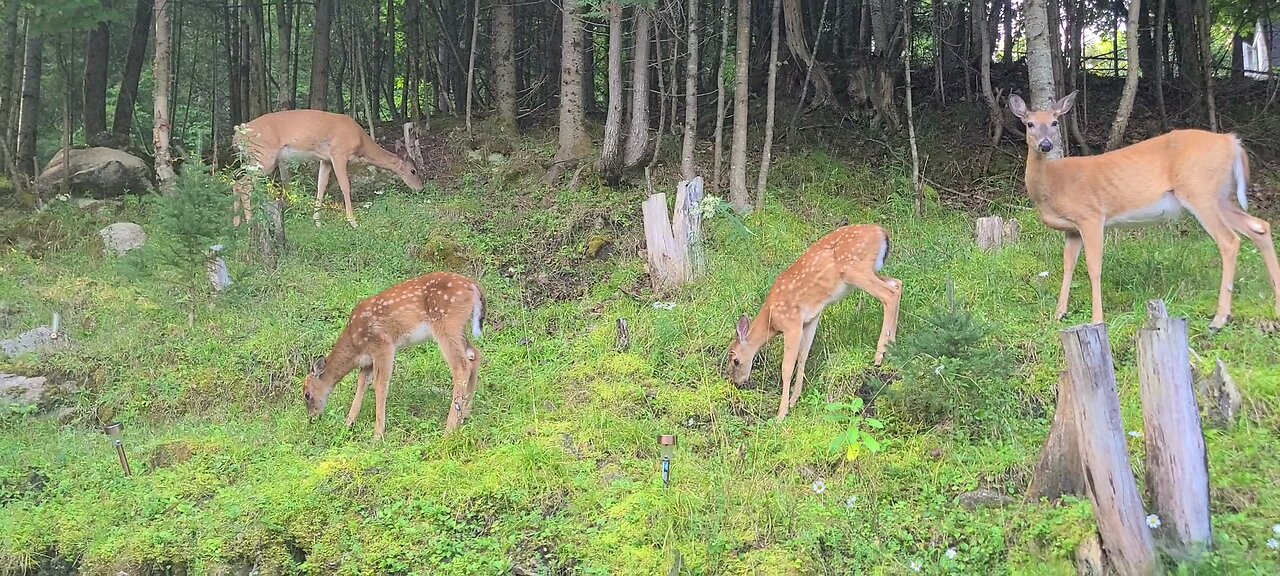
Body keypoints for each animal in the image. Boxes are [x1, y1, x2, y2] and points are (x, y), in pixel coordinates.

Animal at [230, 110, 424, 229]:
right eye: (413, 171)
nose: (421, 188)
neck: (361, 144)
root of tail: (237, 135)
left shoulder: (325, 160)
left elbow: (321, 186)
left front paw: (317, 222)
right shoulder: (339, 153)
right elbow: (346, 186)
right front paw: (353, 222)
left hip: (254, 159)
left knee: (236, 182)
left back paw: (236, 223)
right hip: (264, 157)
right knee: (244, 185)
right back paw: (249, 222)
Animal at [299, 272, 483, 437]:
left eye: (307, 394)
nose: (312, 418)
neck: (355, 344)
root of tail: (474, 286)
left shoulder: (383, 345)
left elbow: (380, 385)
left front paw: (377, 435)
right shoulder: (367, 361)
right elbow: (361, 384)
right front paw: (348, 423)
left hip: (447, 324)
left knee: (461, 365)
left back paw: (449, 429)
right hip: (460, 329)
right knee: (475, 355)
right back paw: (465, 415)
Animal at [727, 224, 906, 417]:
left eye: (735, 360)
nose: (737, 383)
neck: (771, 319)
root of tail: (882, 232)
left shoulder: (791, 323)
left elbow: (787, 368)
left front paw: (781, 413)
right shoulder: (811, 319)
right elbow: (803, 357)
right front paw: (794, 400)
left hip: (855, 268)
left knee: (889, 294)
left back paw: (880, 354)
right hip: (870, 270)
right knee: (897, 283)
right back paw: (892, 344)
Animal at [1008, 92, 1280, 330]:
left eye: (1054, 122)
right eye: (1030, 123)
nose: (1045, 144)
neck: (1052, 185)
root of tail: (1232, 142)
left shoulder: (1091, 216)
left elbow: (1094, 267)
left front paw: (1097, 319)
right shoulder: (1072, 229)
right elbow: (1068, 266)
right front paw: (1059, 313)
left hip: (1200, 190)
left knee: (1230, 240)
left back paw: (1219, 319)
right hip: (1220, 196)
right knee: (1260, 227)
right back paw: (1275, 307)